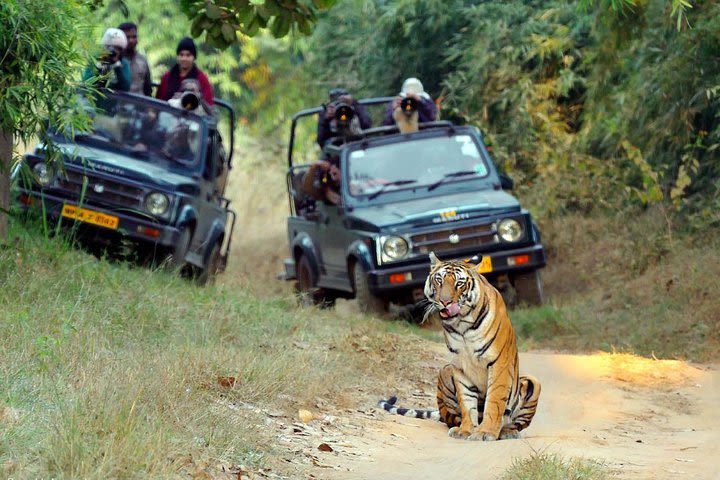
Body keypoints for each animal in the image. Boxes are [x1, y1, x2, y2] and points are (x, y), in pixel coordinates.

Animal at [376, 253, 540, 440]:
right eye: (439, 280)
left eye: (459, 283)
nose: (445, 302)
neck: (462, 324)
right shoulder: (459, 365)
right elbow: (467, 401)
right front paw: (466, 430)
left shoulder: (499, 362)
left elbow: (495, 399)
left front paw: (486, 432)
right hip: (444, 372)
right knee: (450, 417)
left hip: (533, 382)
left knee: (514, 422)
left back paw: (506, 432)